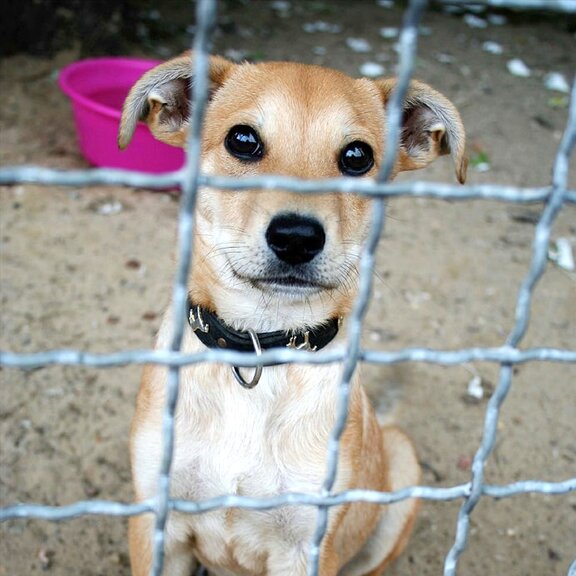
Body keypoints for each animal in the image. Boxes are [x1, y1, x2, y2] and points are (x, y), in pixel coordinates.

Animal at [118, 52, 466, 576]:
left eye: (358, 156)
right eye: (242, 141)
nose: (297, 237)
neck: (258, 350)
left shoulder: (308, 548)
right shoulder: (156, 523)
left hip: (401, 464)